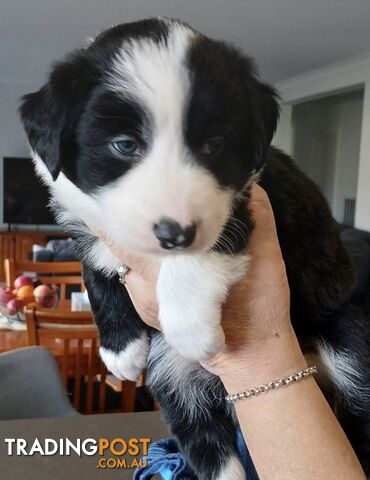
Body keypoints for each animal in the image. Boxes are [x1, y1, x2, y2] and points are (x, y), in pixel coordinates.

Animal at [20, 17, 370, 480]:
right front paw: (120, 349)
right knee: (206, 442)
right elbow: (94, 270)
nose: (175, 234)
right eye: (124, 145)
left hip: (347, 341)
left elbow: (196, 258)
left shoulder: (246, 203)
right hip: (172, 378)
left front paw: (190, 327)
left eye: (215, 143)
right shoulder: (88, 221)